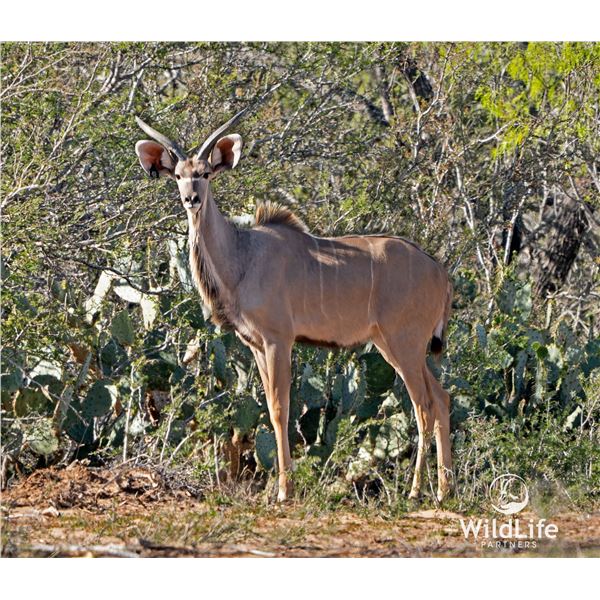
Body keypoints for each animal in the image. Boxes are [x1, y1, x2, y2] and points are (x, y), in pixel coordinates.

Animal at [134, 110, 453, 503]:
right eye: (178, 175)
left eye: (206, 173)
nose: (191, 199)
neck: (242, 256)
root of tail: (440, 274)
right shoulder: (254, 344)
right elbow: (271, 407)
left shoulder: (278, 340)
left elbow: (279, 408)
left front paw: (285, 490)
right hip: (395, 346)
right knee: (442, 398)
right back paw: (445, 490)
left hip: (403, 343)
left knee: (423, 406)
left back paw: (415, 491)